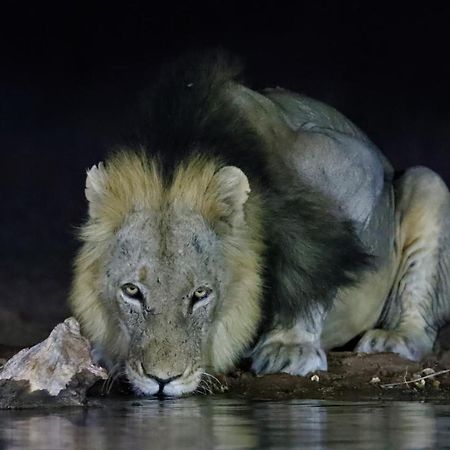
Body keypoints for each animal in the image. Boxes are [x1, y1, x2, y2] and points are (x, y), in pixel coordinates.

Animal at [69, 53, 450, 398]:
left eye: (200, 295)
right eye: (132, 291)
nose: (163, 379)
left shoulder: (355, 173)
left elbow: (317, 272)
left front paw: (289, 346)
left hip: (428, 184)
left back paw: (392, 338)